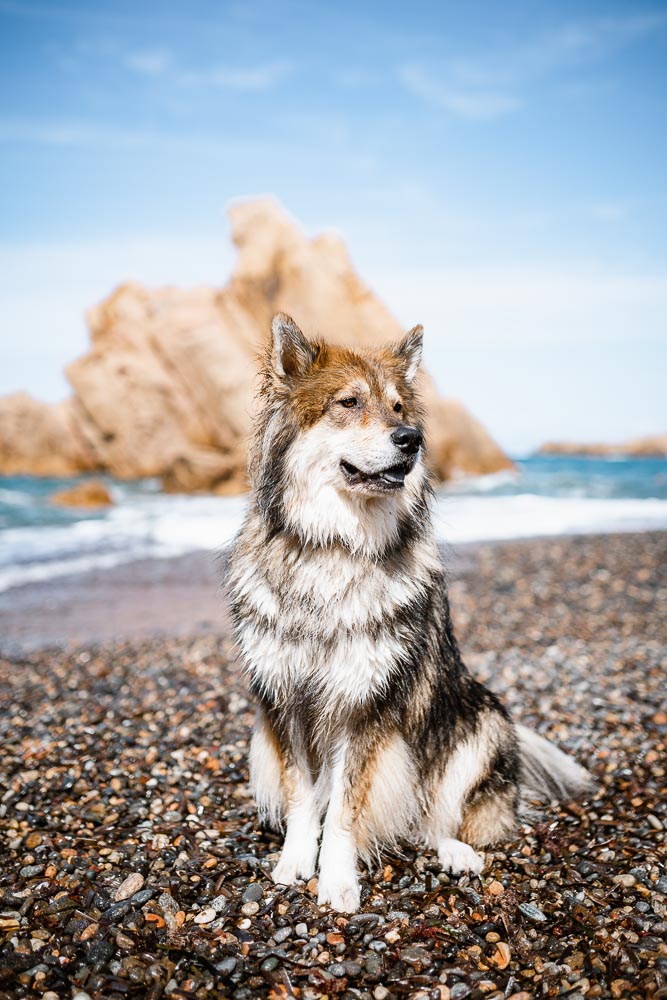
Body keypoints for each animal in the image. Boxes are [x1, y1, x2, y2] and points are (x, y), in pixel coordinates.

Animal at [228, 312, 588, 916]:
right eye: (348, 402)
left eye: (399, 408)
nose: (412, 440)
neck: (335, 548)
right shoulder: (286, 700)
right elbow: (305, 797)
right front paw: (296, 862)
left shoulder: (364, 706)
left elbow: (345, 809)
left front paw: (338, 880)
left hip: (483, 722)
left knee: (439, 816)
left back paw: (457, 852)